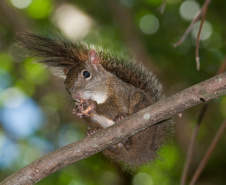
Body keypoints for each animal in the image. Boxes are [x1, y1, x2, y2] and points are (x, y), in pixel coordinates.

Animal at [17, 32, 173, 169]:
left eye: (86, 74)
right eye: (65, 84)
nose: (76, 96)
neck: (97, 93)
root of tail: (145, 152)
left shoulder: (119, 92)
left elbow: (115, 106)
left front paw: (93, 106)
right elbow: (90, 118)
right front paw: (82, 115)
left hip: (140, 107)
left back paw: (123, 121)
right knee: (116, 150)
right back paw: (103, 137)